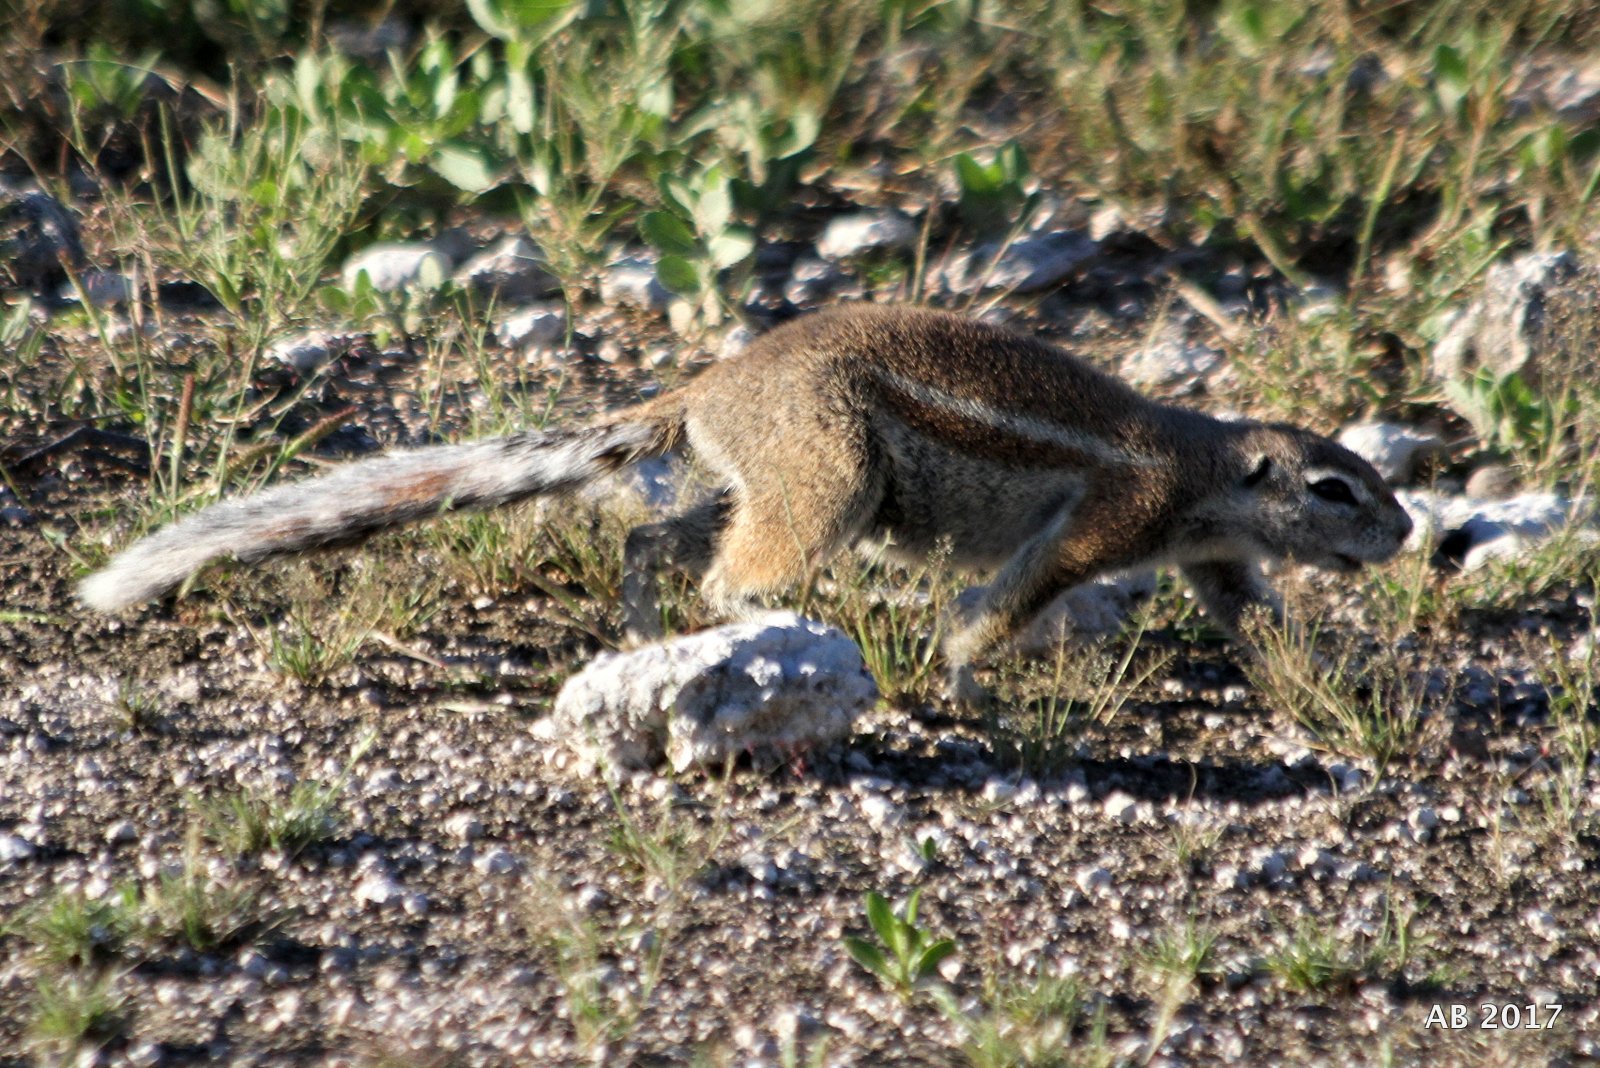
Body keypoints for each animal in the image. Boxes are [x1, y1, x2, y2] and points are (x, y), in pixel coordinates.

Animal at [80, 303, 1414, 700]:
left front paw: (1322, 687)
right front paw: (968, 678)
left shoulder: (1212, 555)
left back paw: (639, 631)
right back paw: (746, 636)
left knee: (655, 539)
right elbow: (999, 601)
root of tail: (709, 382)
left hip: (781, 484)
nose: (1407, 533)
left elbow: (1256, 618)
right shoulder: (1116, 517)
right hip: (826, 484)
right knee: (732, 573)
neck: (1207, 474)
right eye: (1338, 488)